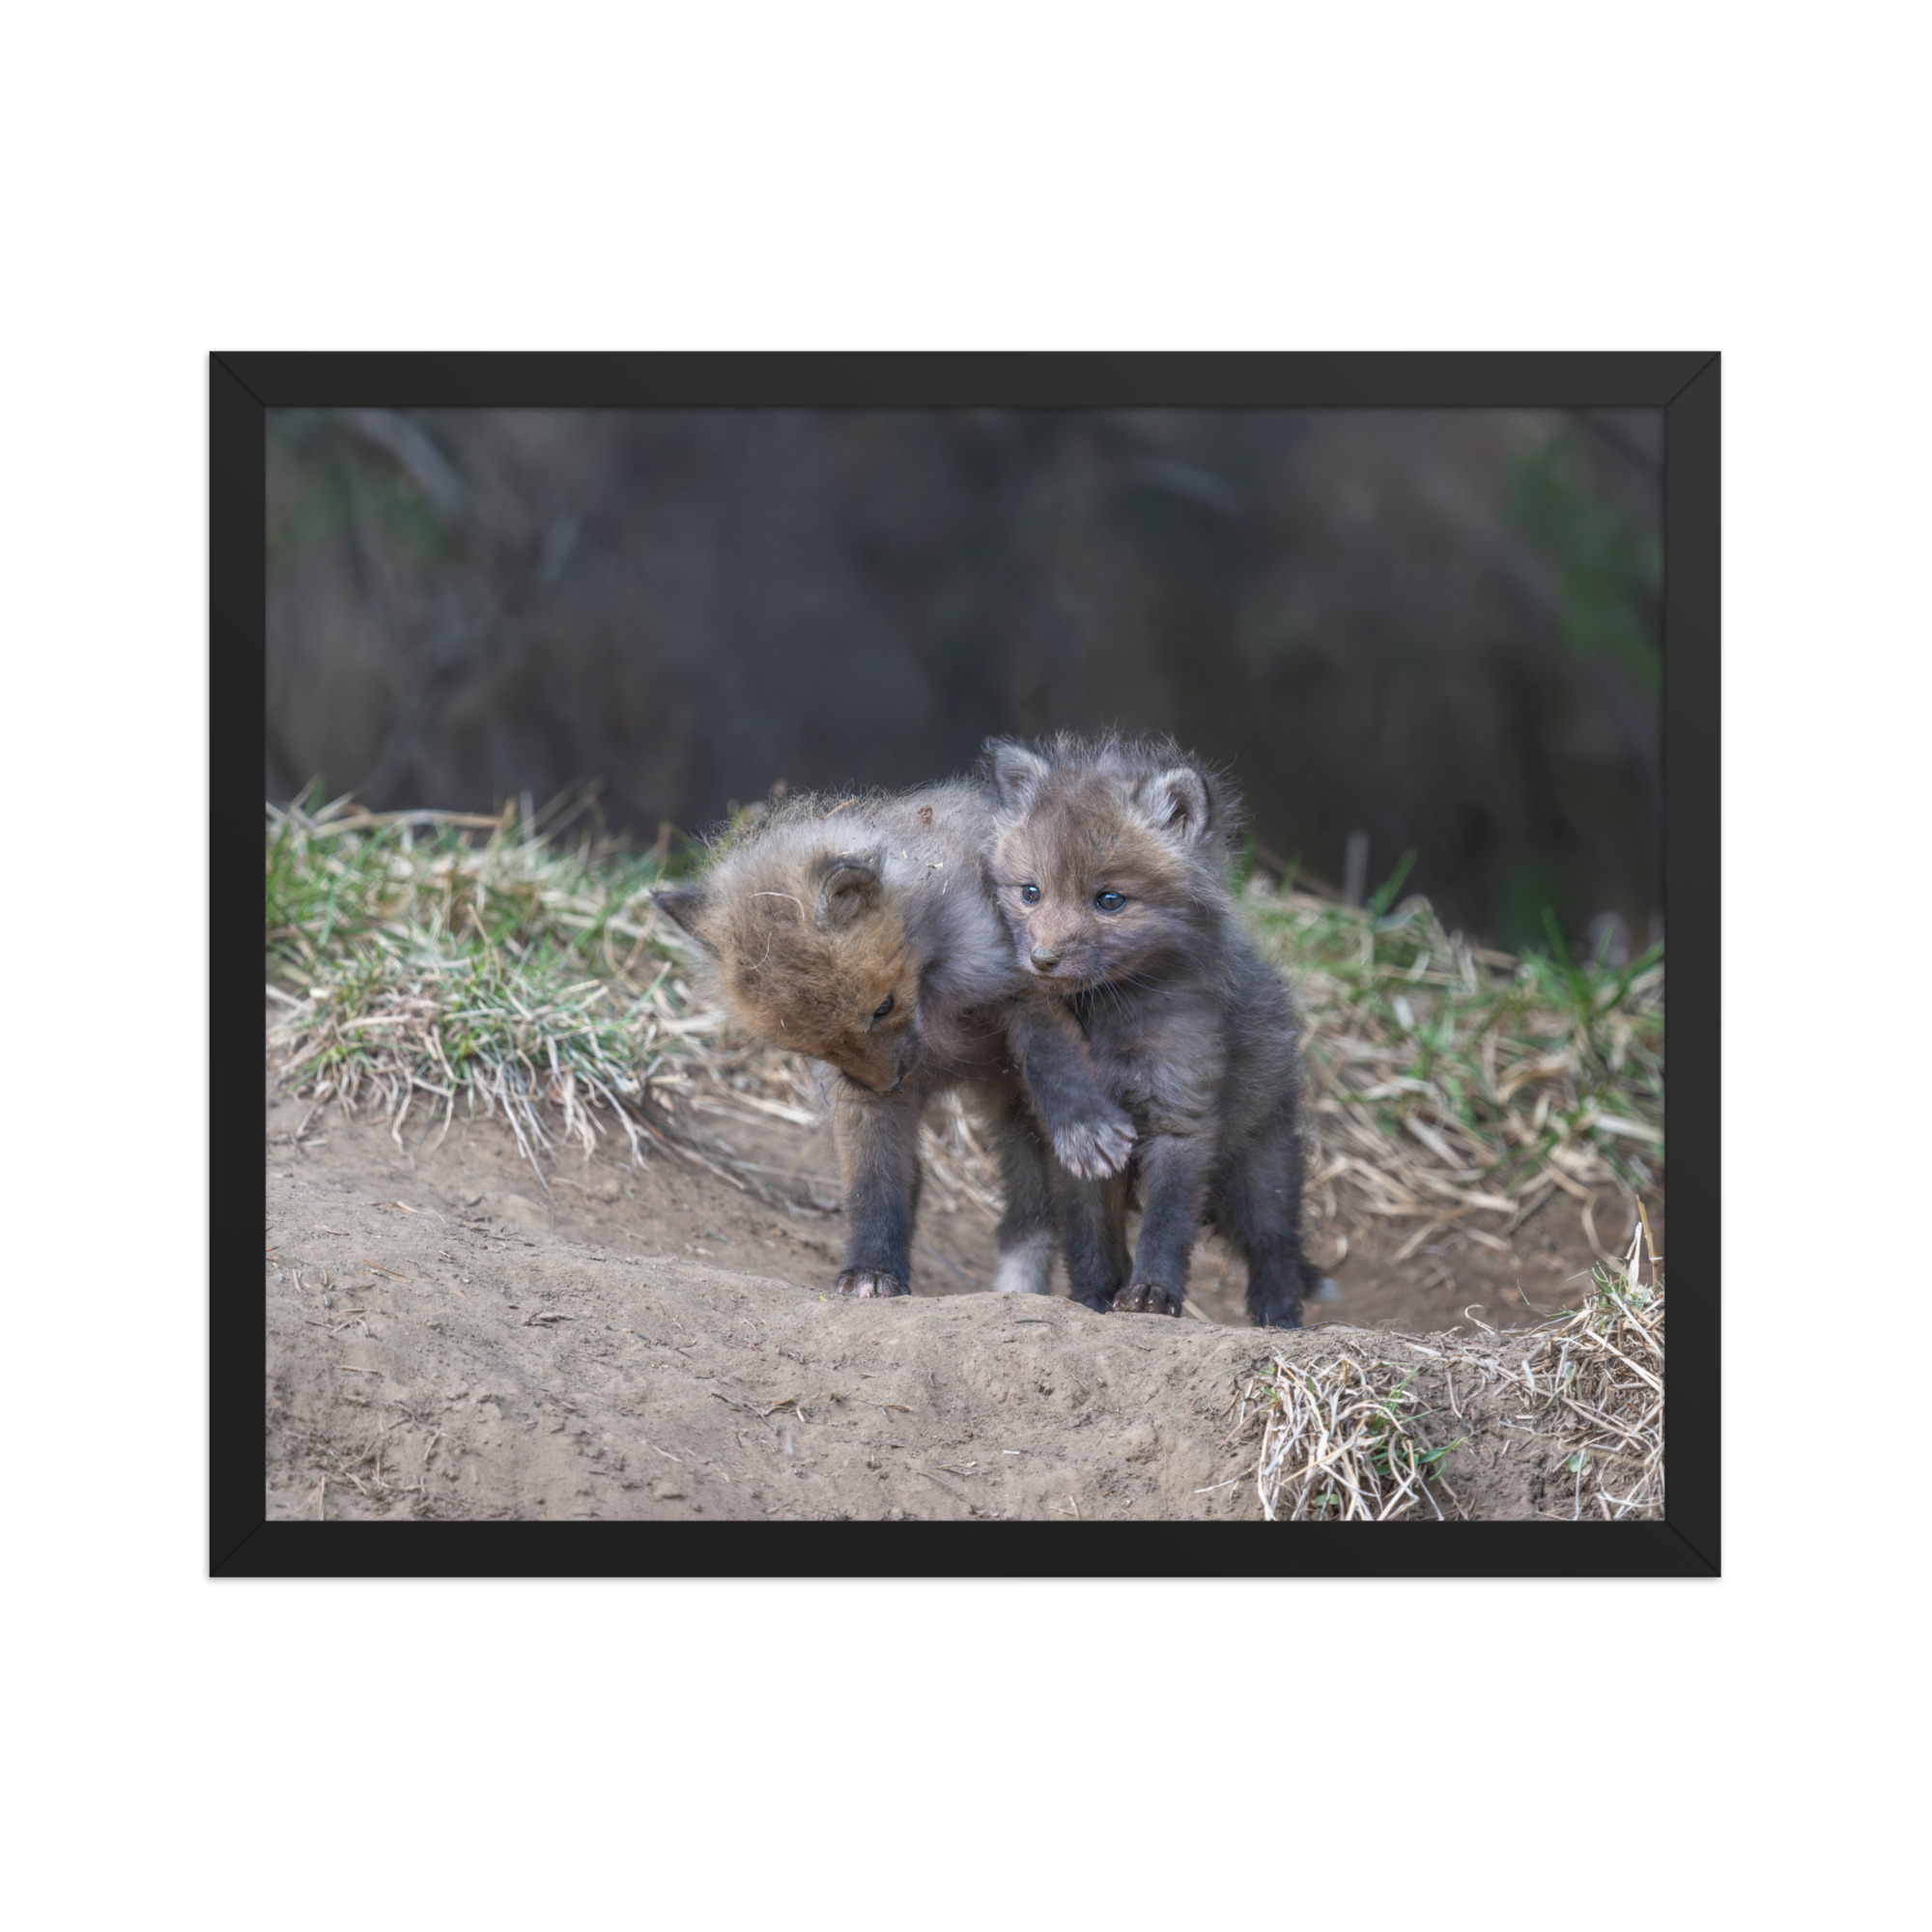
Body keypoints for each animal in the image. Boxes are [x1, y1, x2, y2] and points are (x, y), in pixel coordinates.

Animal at [651, 782, 1136, 1302]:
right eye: (812, 1046)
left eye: (883, 1007)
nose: (888, 1083)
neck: (933, 998)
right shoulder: (857, 1095)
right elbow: (873, 1185)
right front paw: (873, 1269)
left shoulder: (1024, 983)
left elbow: (1055, 1061)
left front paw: (1083, 1125)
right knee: (1025, 1215)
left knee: (1079, 1219)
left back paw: (1097, 1295)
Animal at [982, 733, 1323, 1328]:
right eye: (1030, 893)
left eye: (1109, 900)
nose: (1042, 960)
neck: (1107, 1020)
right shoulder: (1076, 1140)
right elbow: (1089, 1234)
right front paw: (1094, 1298)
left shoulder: (1181, 1116)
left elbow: (1167, 1223)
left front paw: (1151, 1294)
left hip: (1261, 1169)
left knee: (1275, 1247)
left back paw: (1279, 1321)